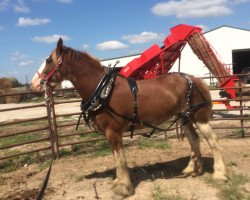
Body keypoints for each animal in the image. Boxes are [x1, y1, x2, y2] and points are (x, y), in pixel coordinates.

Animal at [30, 38, 228, 198]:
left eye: (48, 60)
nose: (34, 84)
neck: (103, 90)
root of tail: (197, 80)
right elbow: (117, 158)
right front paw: (119, 183)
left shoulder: (113, 132)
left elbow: (120, 159)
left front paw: (124, 188)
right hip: (184, 118)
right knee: (194, 139)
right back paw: (193, 169)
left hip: (200, 118)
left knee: (213, 141)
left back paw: (219, 174)